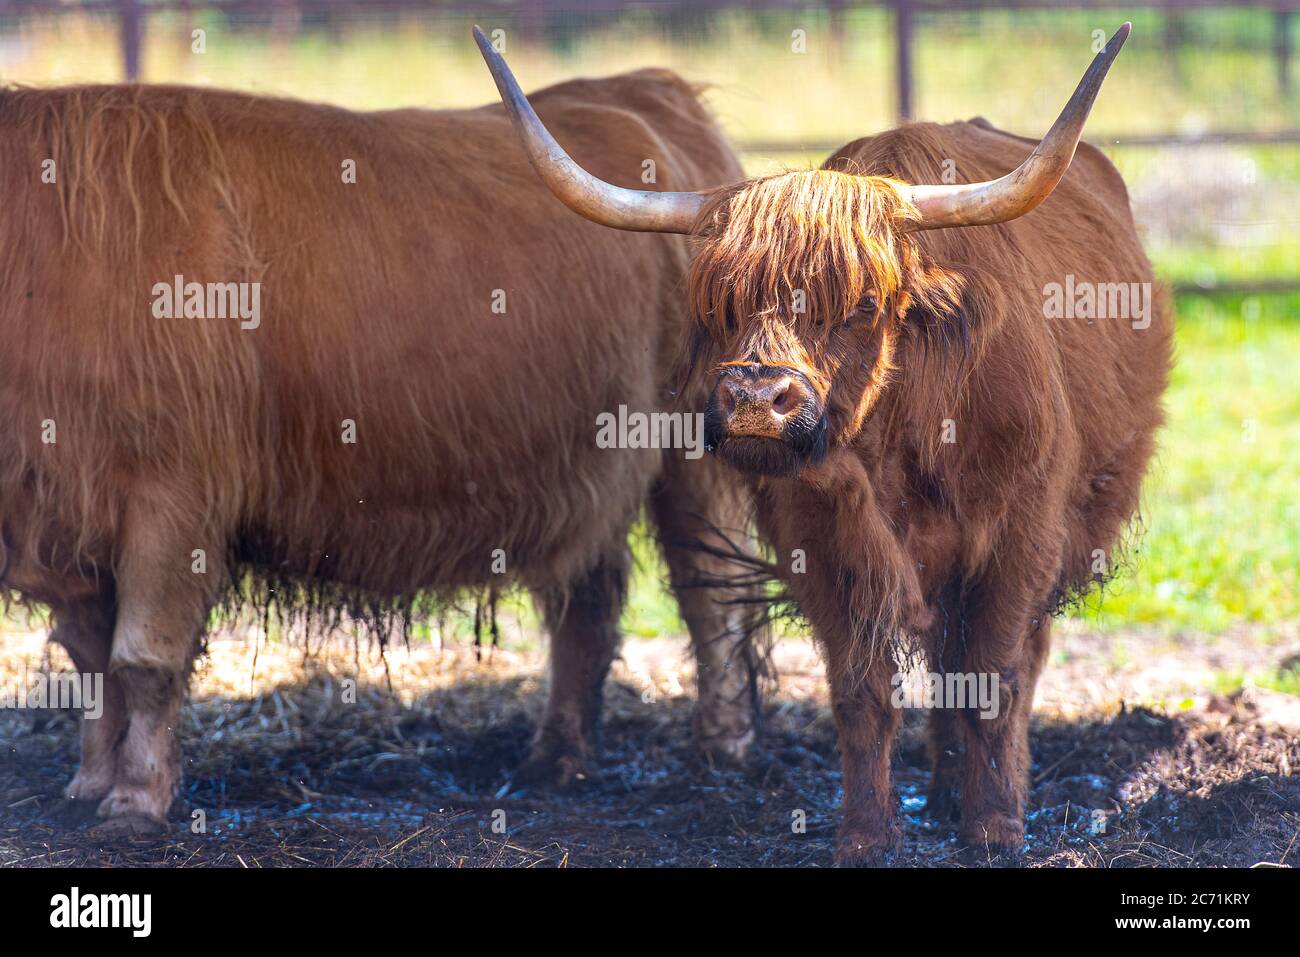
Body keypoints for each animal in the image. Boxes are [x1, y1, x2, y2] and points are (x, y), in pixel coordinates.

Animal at [2, 69, 759, 832]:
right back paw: (554, 760)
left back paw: (723, 749)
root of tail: (645, 87)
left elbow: (142, 659)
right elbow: (91, 660)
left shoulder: (173, 492)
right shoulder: (69, 506)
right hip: (587, 473)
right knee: (587, 608)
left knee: (712, 591)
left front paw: (137, 800)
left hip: (699, 457)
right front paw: (91, 783)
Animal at [483, 22, 1175, 863]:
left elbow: (994, 677)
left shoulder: (1021, 536)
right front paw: (868, 834)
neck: (896, 447)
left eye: (863, 303)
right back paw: (941, 791)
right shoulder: (824, 544)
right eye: (718, 304)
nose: (756, 400)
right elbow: (863, 692)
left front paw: (995, 829)